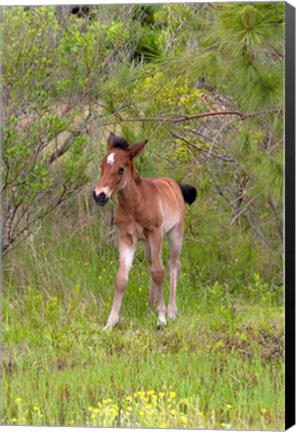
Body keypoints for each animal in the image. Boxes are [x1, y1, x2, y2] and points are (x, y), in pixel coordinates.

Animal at [93, 133, 197, 330]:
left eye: (121, 169)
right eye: (102, 165)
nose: (99, 195)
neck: (136, 204)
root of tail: (175, 184)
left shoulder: (155, 233)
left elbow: (159, 272)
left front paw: (161, 318)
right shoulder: (127, 238)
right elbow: (121, 279)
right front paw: (111, 322)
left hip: (175, 233)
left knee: (172, 265)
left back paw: (171, 311)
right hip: (148, 244)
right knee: (152, 268)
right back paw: (150, 309)